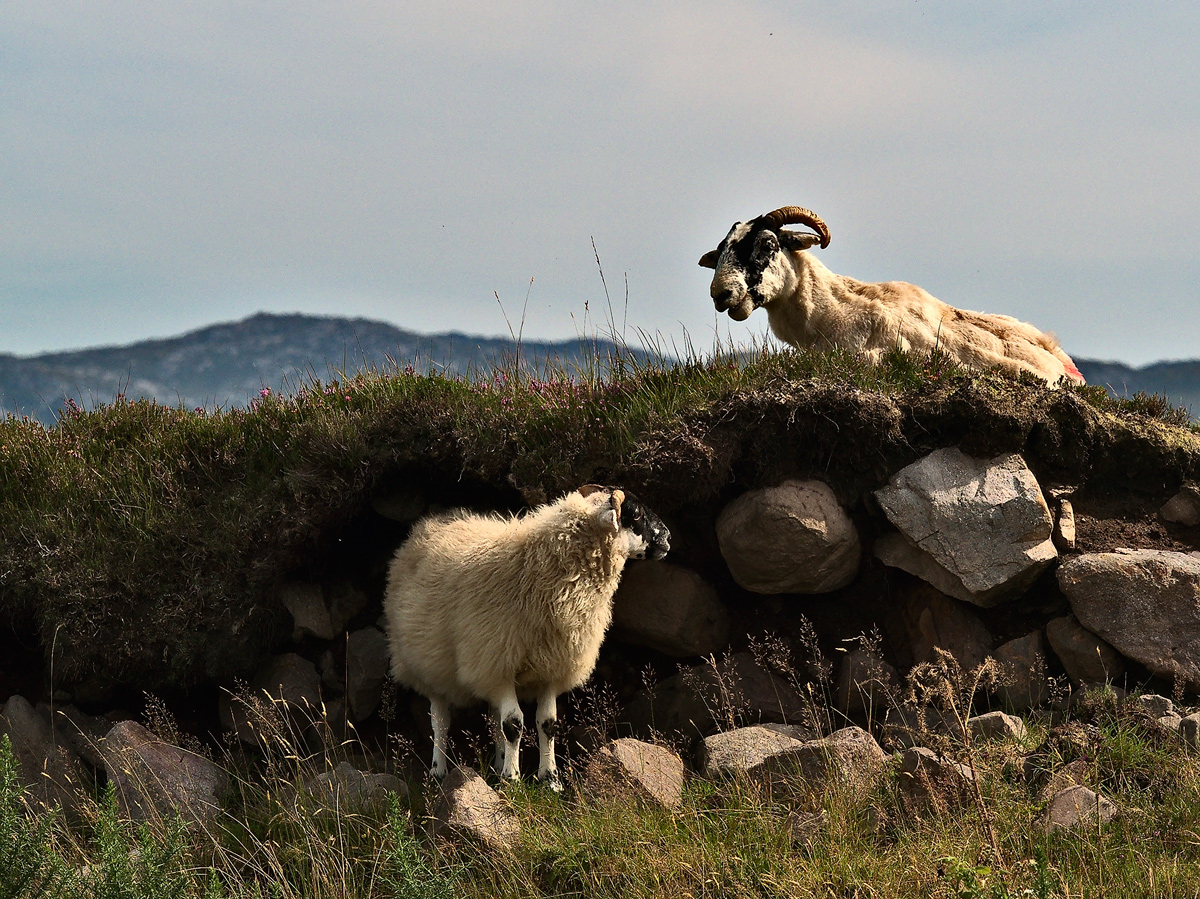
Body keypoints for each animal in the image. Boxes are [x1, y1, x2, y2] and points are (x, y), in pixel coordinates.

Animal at [381, 484, 667, 787]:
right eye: (636, 514)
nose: (668, 537)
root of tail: (431, 524)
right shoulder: (498, 661)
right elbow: (514, 724)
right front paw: (513, 780)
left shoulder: (551, 665)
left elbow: (547, 723)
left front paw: (550, 780)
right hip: (431, 664)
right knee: (440, 720)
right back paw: (439, 770)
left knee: (494, 720)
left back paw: (496, 766)